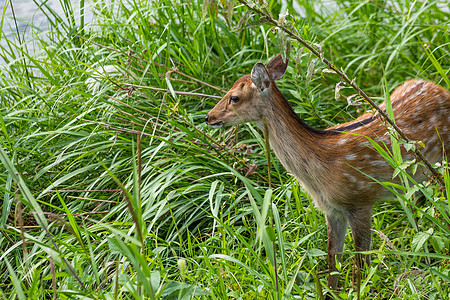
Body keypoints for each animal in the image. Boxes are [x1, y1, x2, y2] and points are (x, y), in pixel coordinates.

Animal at [205, 53, 450, 290]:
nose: (208, 117)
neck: (320, 172)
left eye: (234, 97)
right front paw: (332, 291)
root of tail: (438, 88)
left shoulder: (361, 200)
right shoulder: (331, 209)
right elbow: (333, 258)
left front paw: (361, 290)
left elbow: (361, 261)